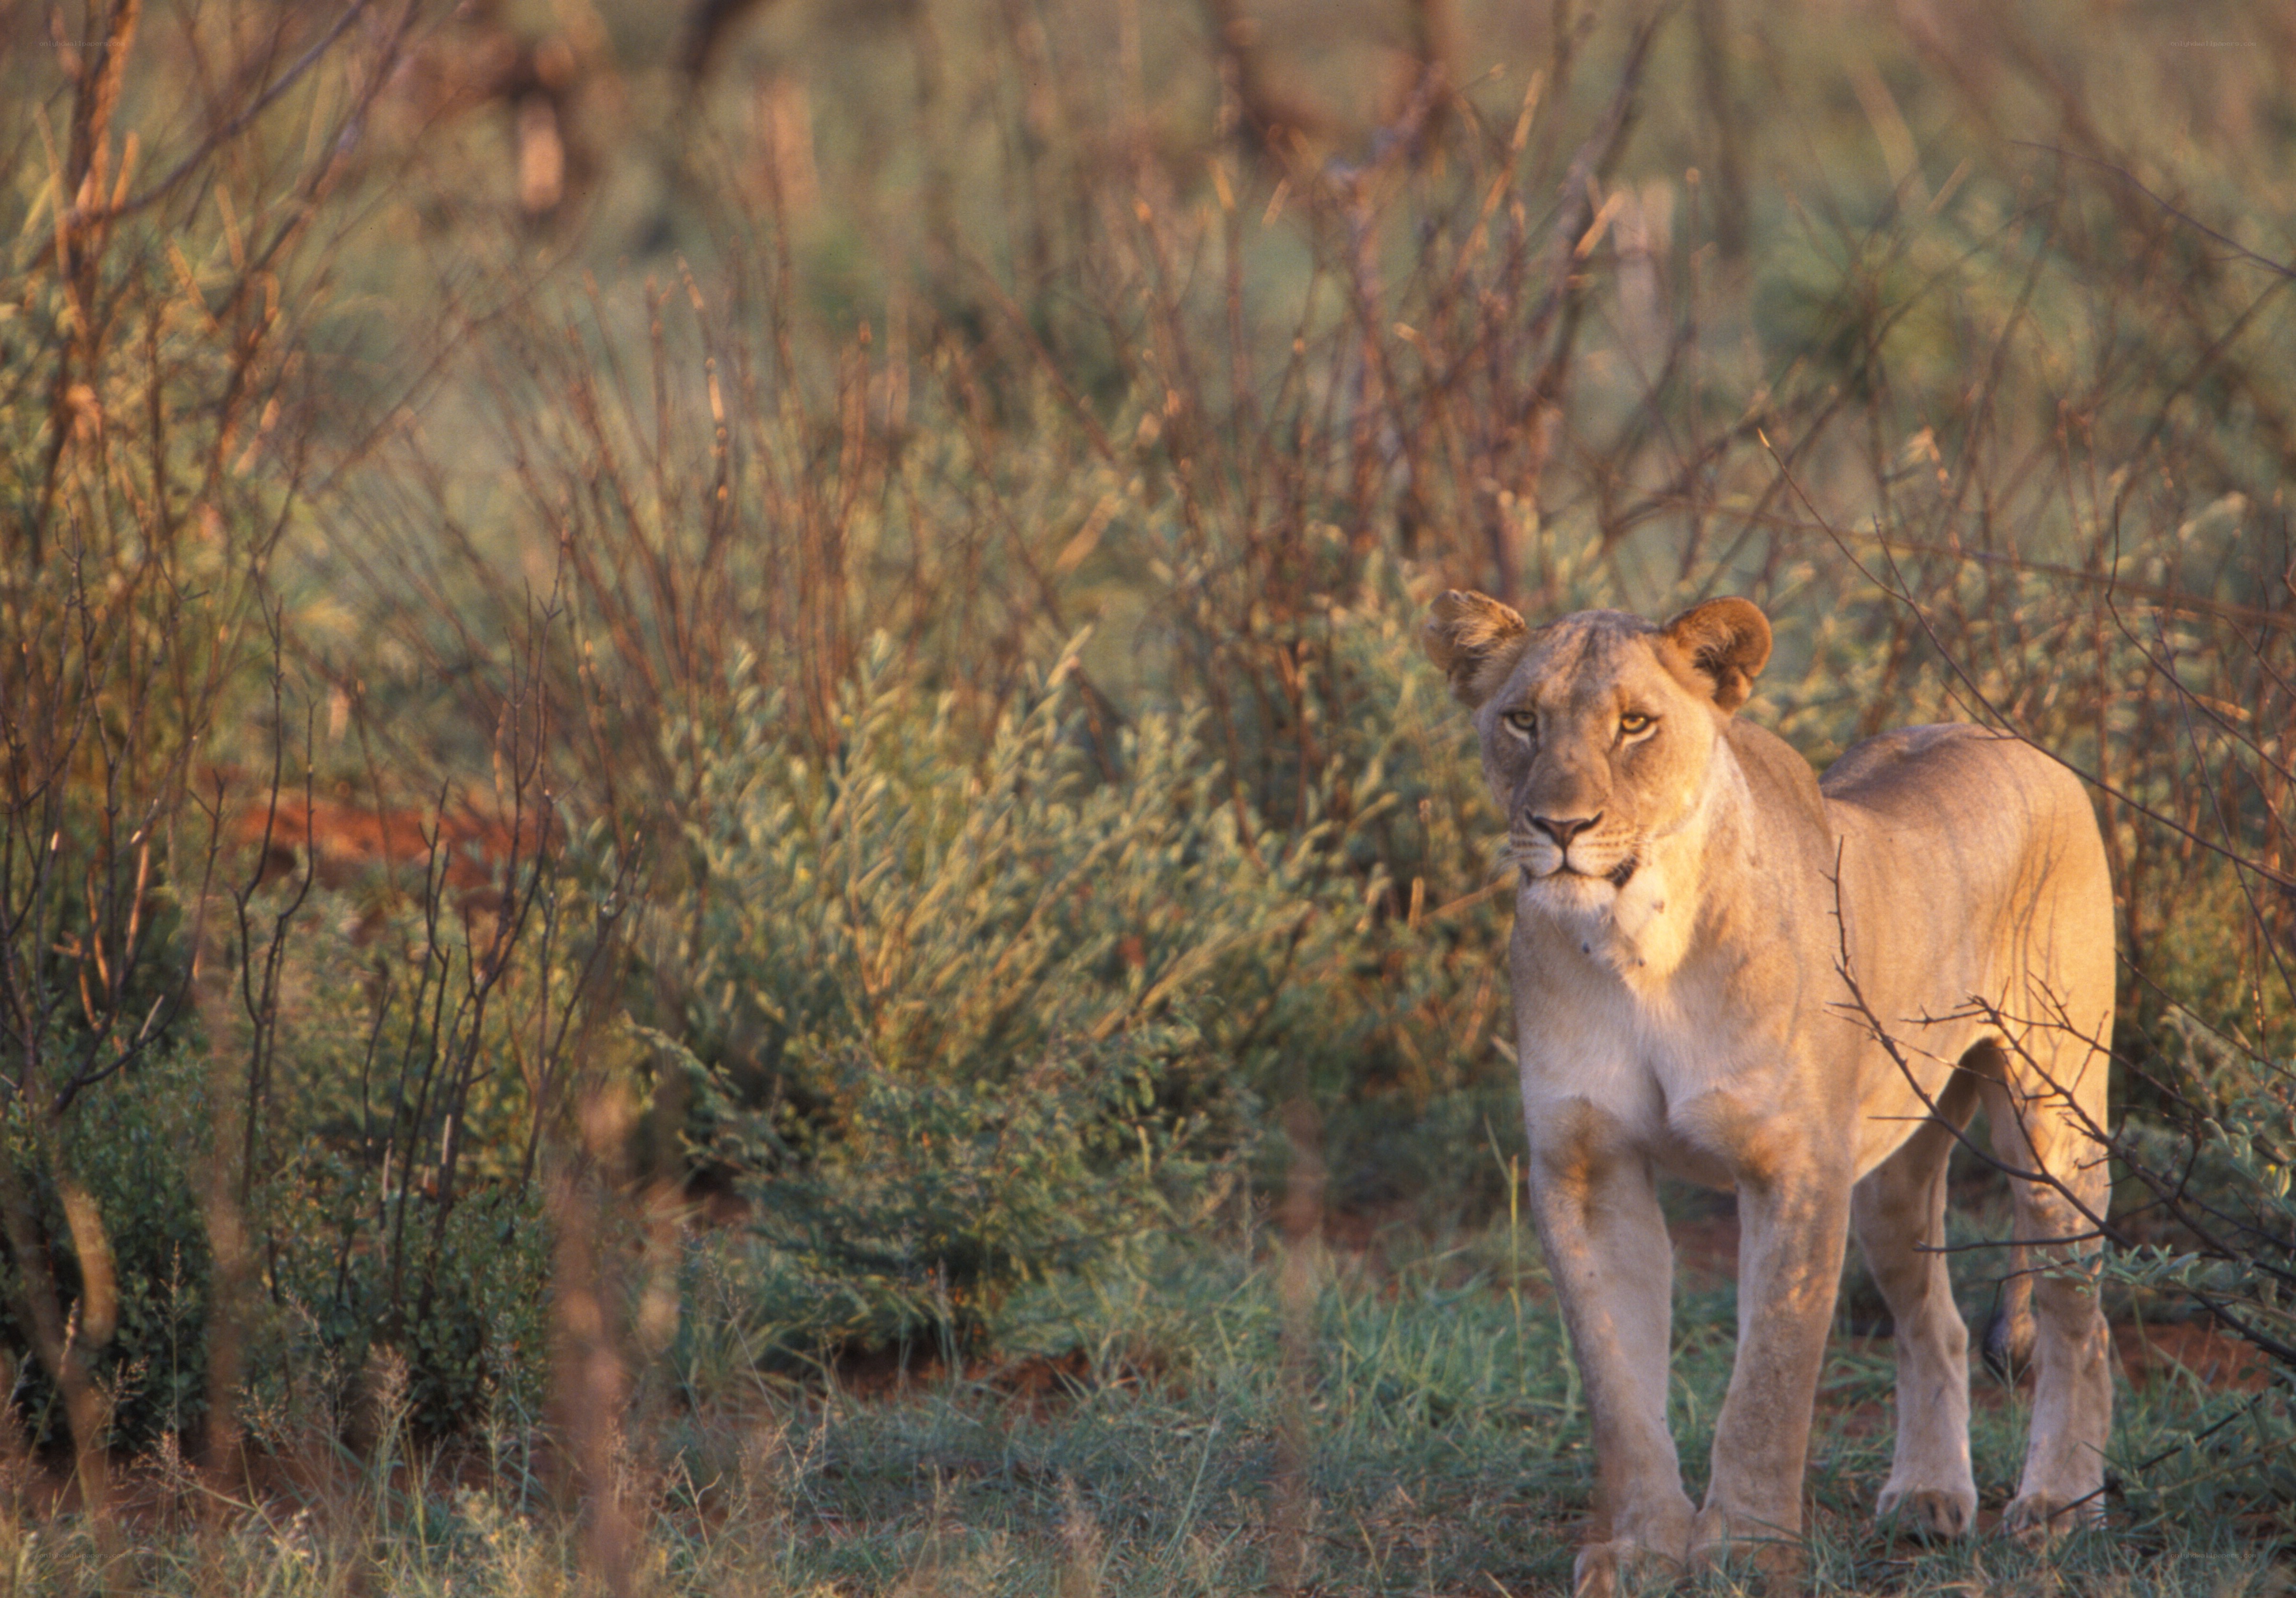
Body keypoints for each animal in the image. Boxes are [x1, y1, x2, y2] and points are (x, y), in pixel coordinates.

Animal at [1424, 592, 2114, 1593]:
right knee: (1933, 1324)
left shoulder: (1791, 1165)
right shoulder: (1584, 1166)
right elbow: (1616, 1383)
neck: (1635, 943)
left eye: (1634, 725)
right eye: (1522, 720)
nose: (1558, 826)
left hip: (2053, 1120)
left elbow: (1769, 1379)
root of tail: (2017, 740)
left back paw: (2059, 1507)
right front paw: (1640, 1546)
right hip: (1892, 1174)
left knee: (2075, 1318)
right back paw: (1927, 1497)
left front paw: (1745, 1549)